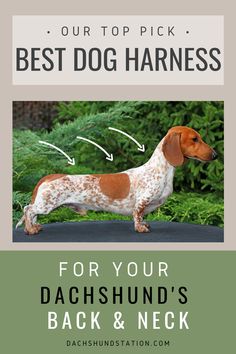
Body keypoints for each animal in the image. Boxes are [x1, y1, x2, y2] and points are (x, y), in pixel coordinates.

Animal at [15, 126, 217, 235]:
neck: (160, 170)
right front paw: (140, 228)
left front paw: (144, 224)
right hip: (46, 204)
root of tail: (49, 176)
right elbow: (137, 215)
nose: (215, 155)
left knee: (31, 212)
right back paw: (30, 229)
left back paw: (33, 227)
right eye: (194, 139)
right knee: (28, 209)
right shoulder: (142, 202)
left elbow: (142, 217)